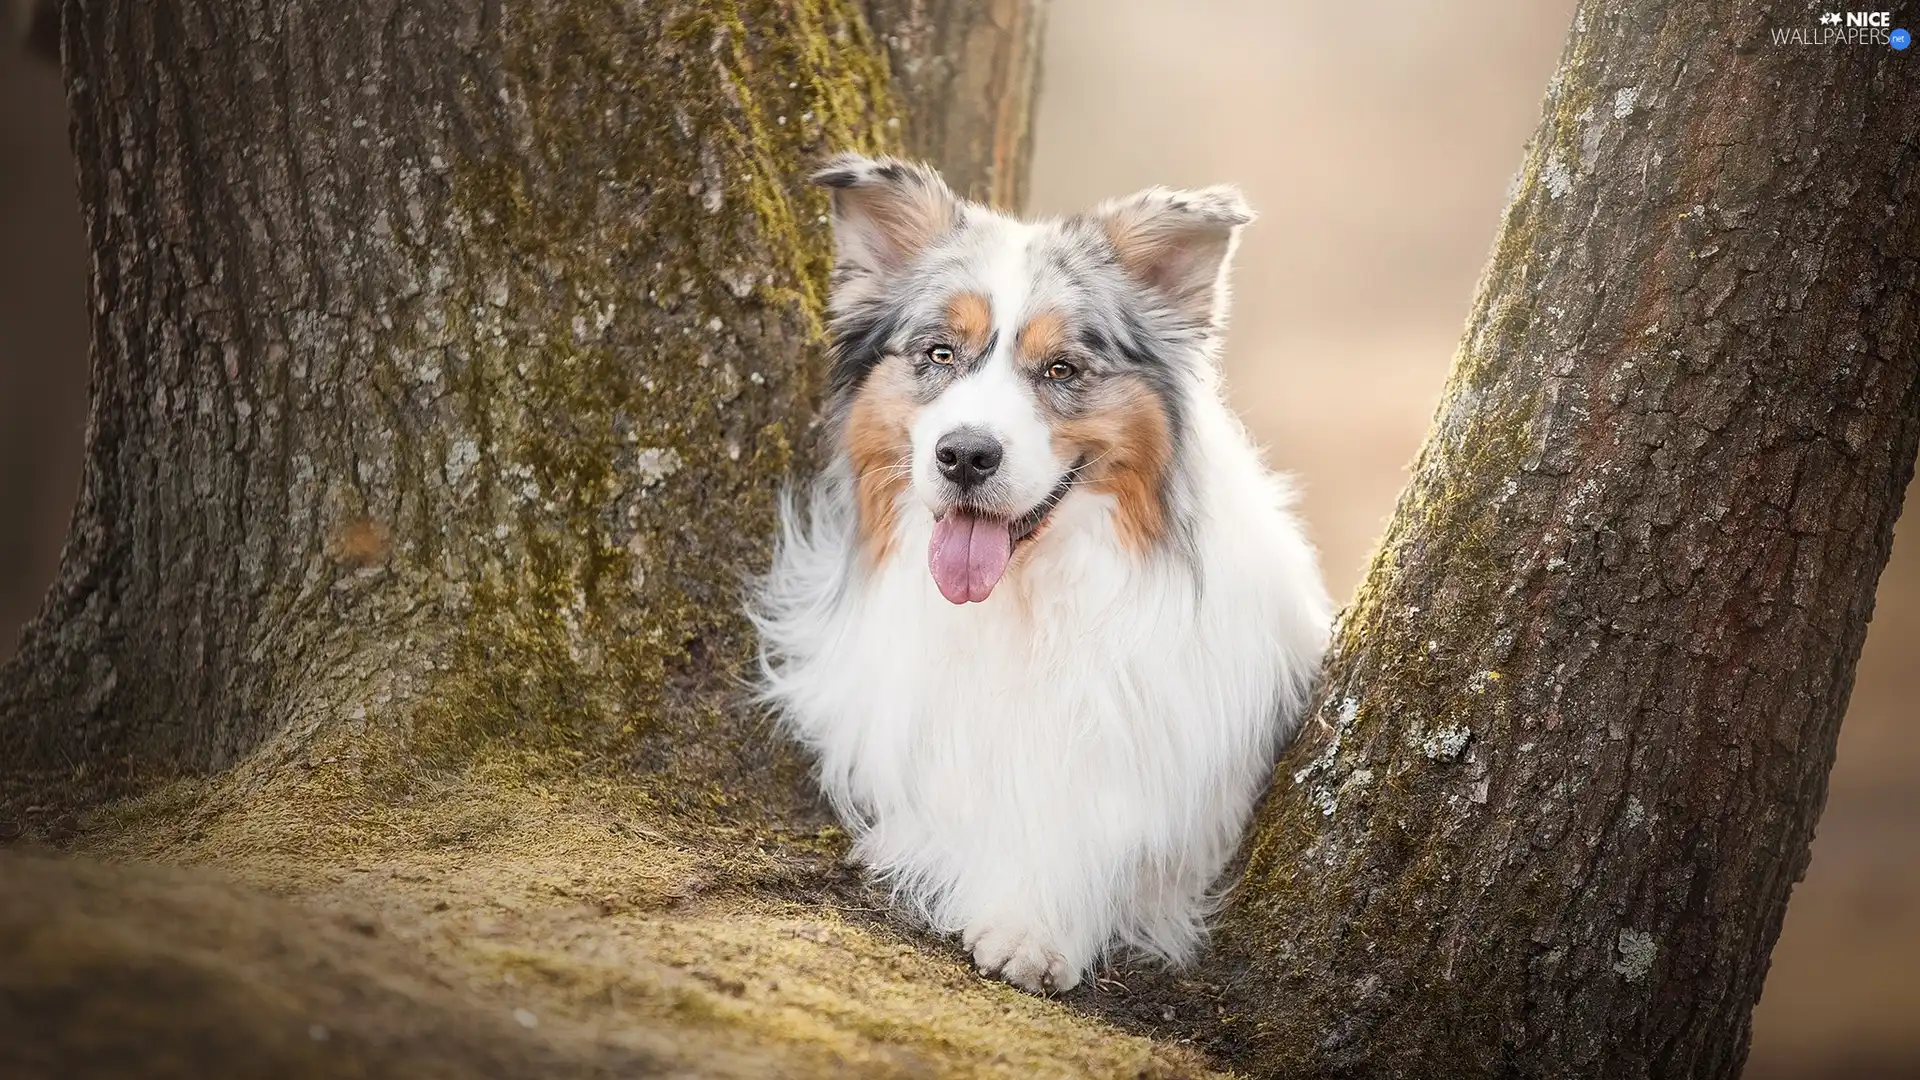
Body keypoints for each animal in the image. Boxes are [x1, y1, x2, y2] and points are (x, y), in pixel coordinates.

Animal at [748, 153, 1336, 991]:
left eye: (1061, 367)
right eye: (938, 354)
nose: (965, 455)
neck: (1025, 599)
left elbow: (1100, 829)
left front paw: (1036, 925)